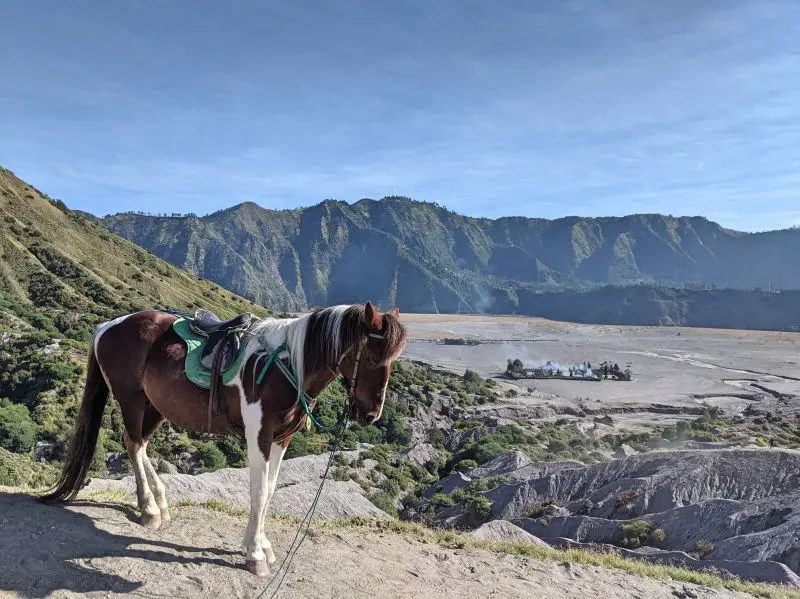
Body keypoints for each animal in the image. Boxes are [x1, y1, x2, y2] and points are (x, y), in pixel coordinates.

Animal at [41, 304, 406, 576]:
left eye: (392, 359)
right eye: (373, 356)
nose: (370, 414)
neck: (286, 365)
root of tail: (108, 325)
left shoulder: (281, 440)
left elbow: (269, 491)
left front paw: (260, 545)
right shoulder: (258, 436)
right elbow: (259, 492)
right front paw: (255, 555)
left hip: (156, 407)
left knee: (140, 445)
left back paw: (160, 502)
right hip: (130, 400)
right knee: (132, 444)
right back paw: (149, 510)